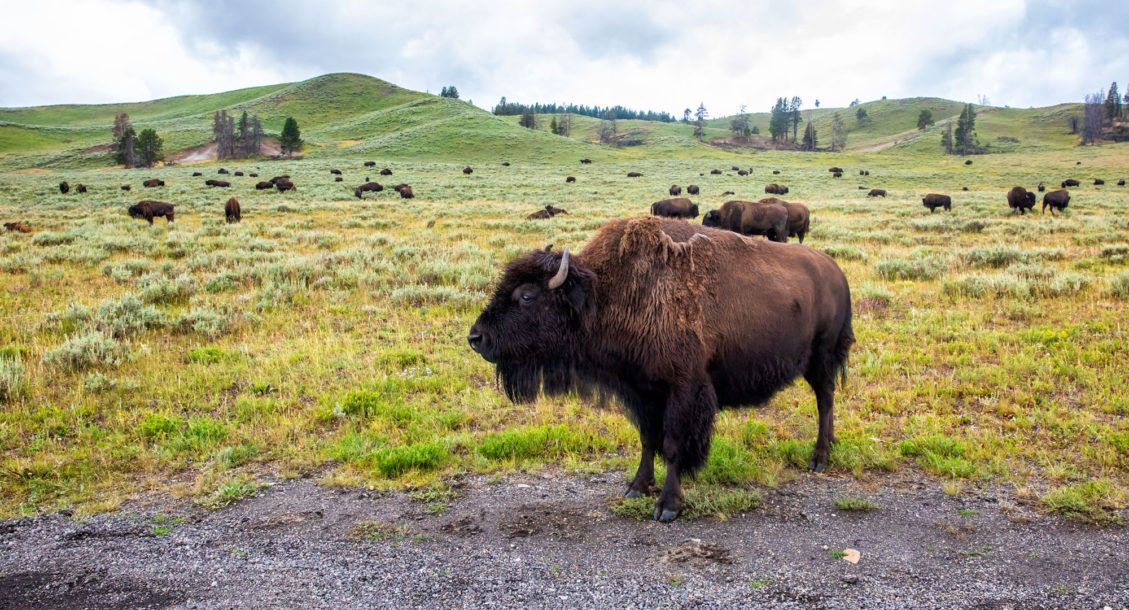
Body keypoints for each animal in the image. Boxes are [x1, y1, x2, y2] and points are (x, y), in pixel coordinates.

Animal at [469, 216, 853, 521]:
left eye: (526, 296)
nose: (476, 337)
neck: (605, 294)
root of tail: (836, 272)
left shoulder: (682, 390)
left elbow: (671, 444)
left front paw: (668, 506)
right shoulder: (642, 392)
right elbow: (647, 439)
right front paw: (636, 487)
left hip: (821, 359)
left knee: (825, 400)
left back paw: (819, 458)